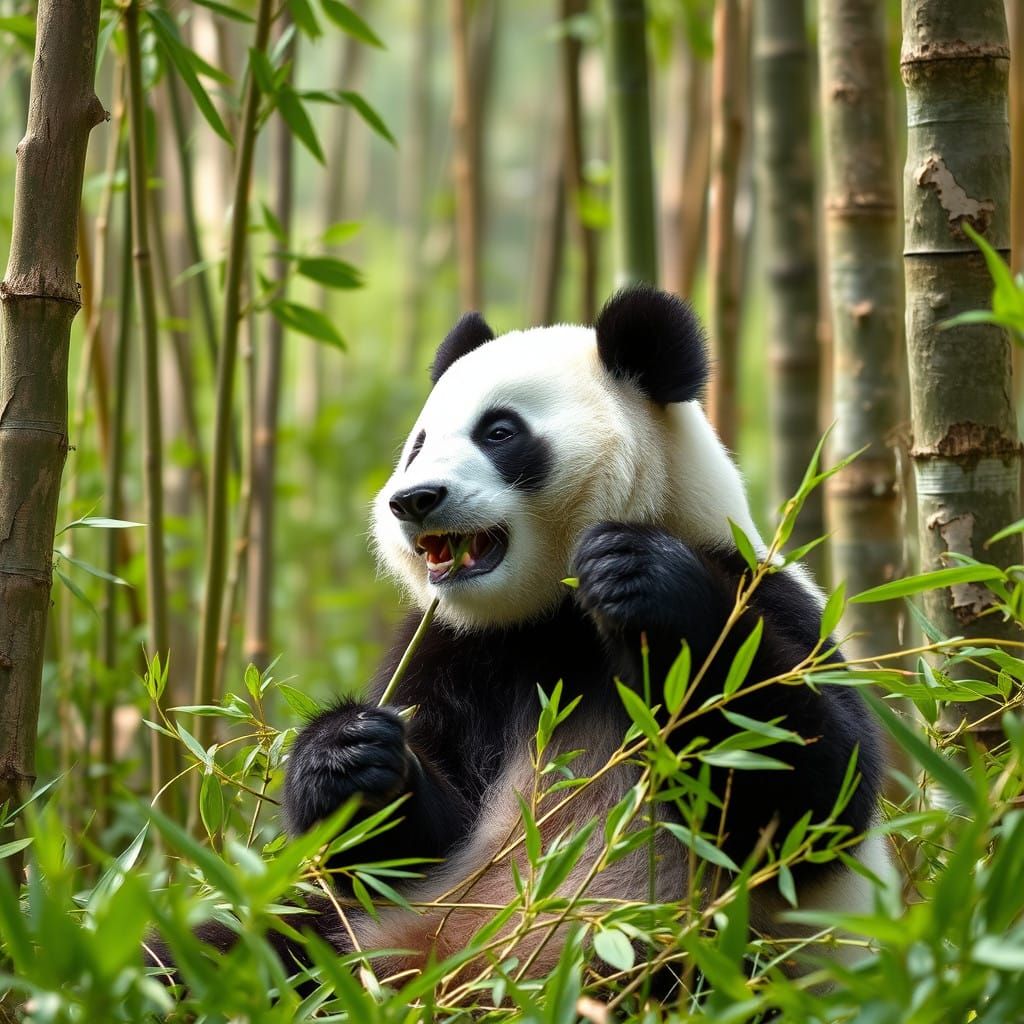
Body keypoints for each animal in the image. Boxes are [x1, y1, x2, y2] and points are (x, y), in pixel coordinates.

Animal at [275, 285, 887, 985]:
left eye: (500, 432)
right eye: (418, 444)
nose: (414, 498)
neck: (551, 616)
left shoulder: (764, 595)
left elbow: (810, 794)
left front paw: (641, 580)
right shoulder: (452, 649)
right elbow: (400, 853)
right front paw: (347, 752)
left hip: (709, 953)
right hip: (358, 945)